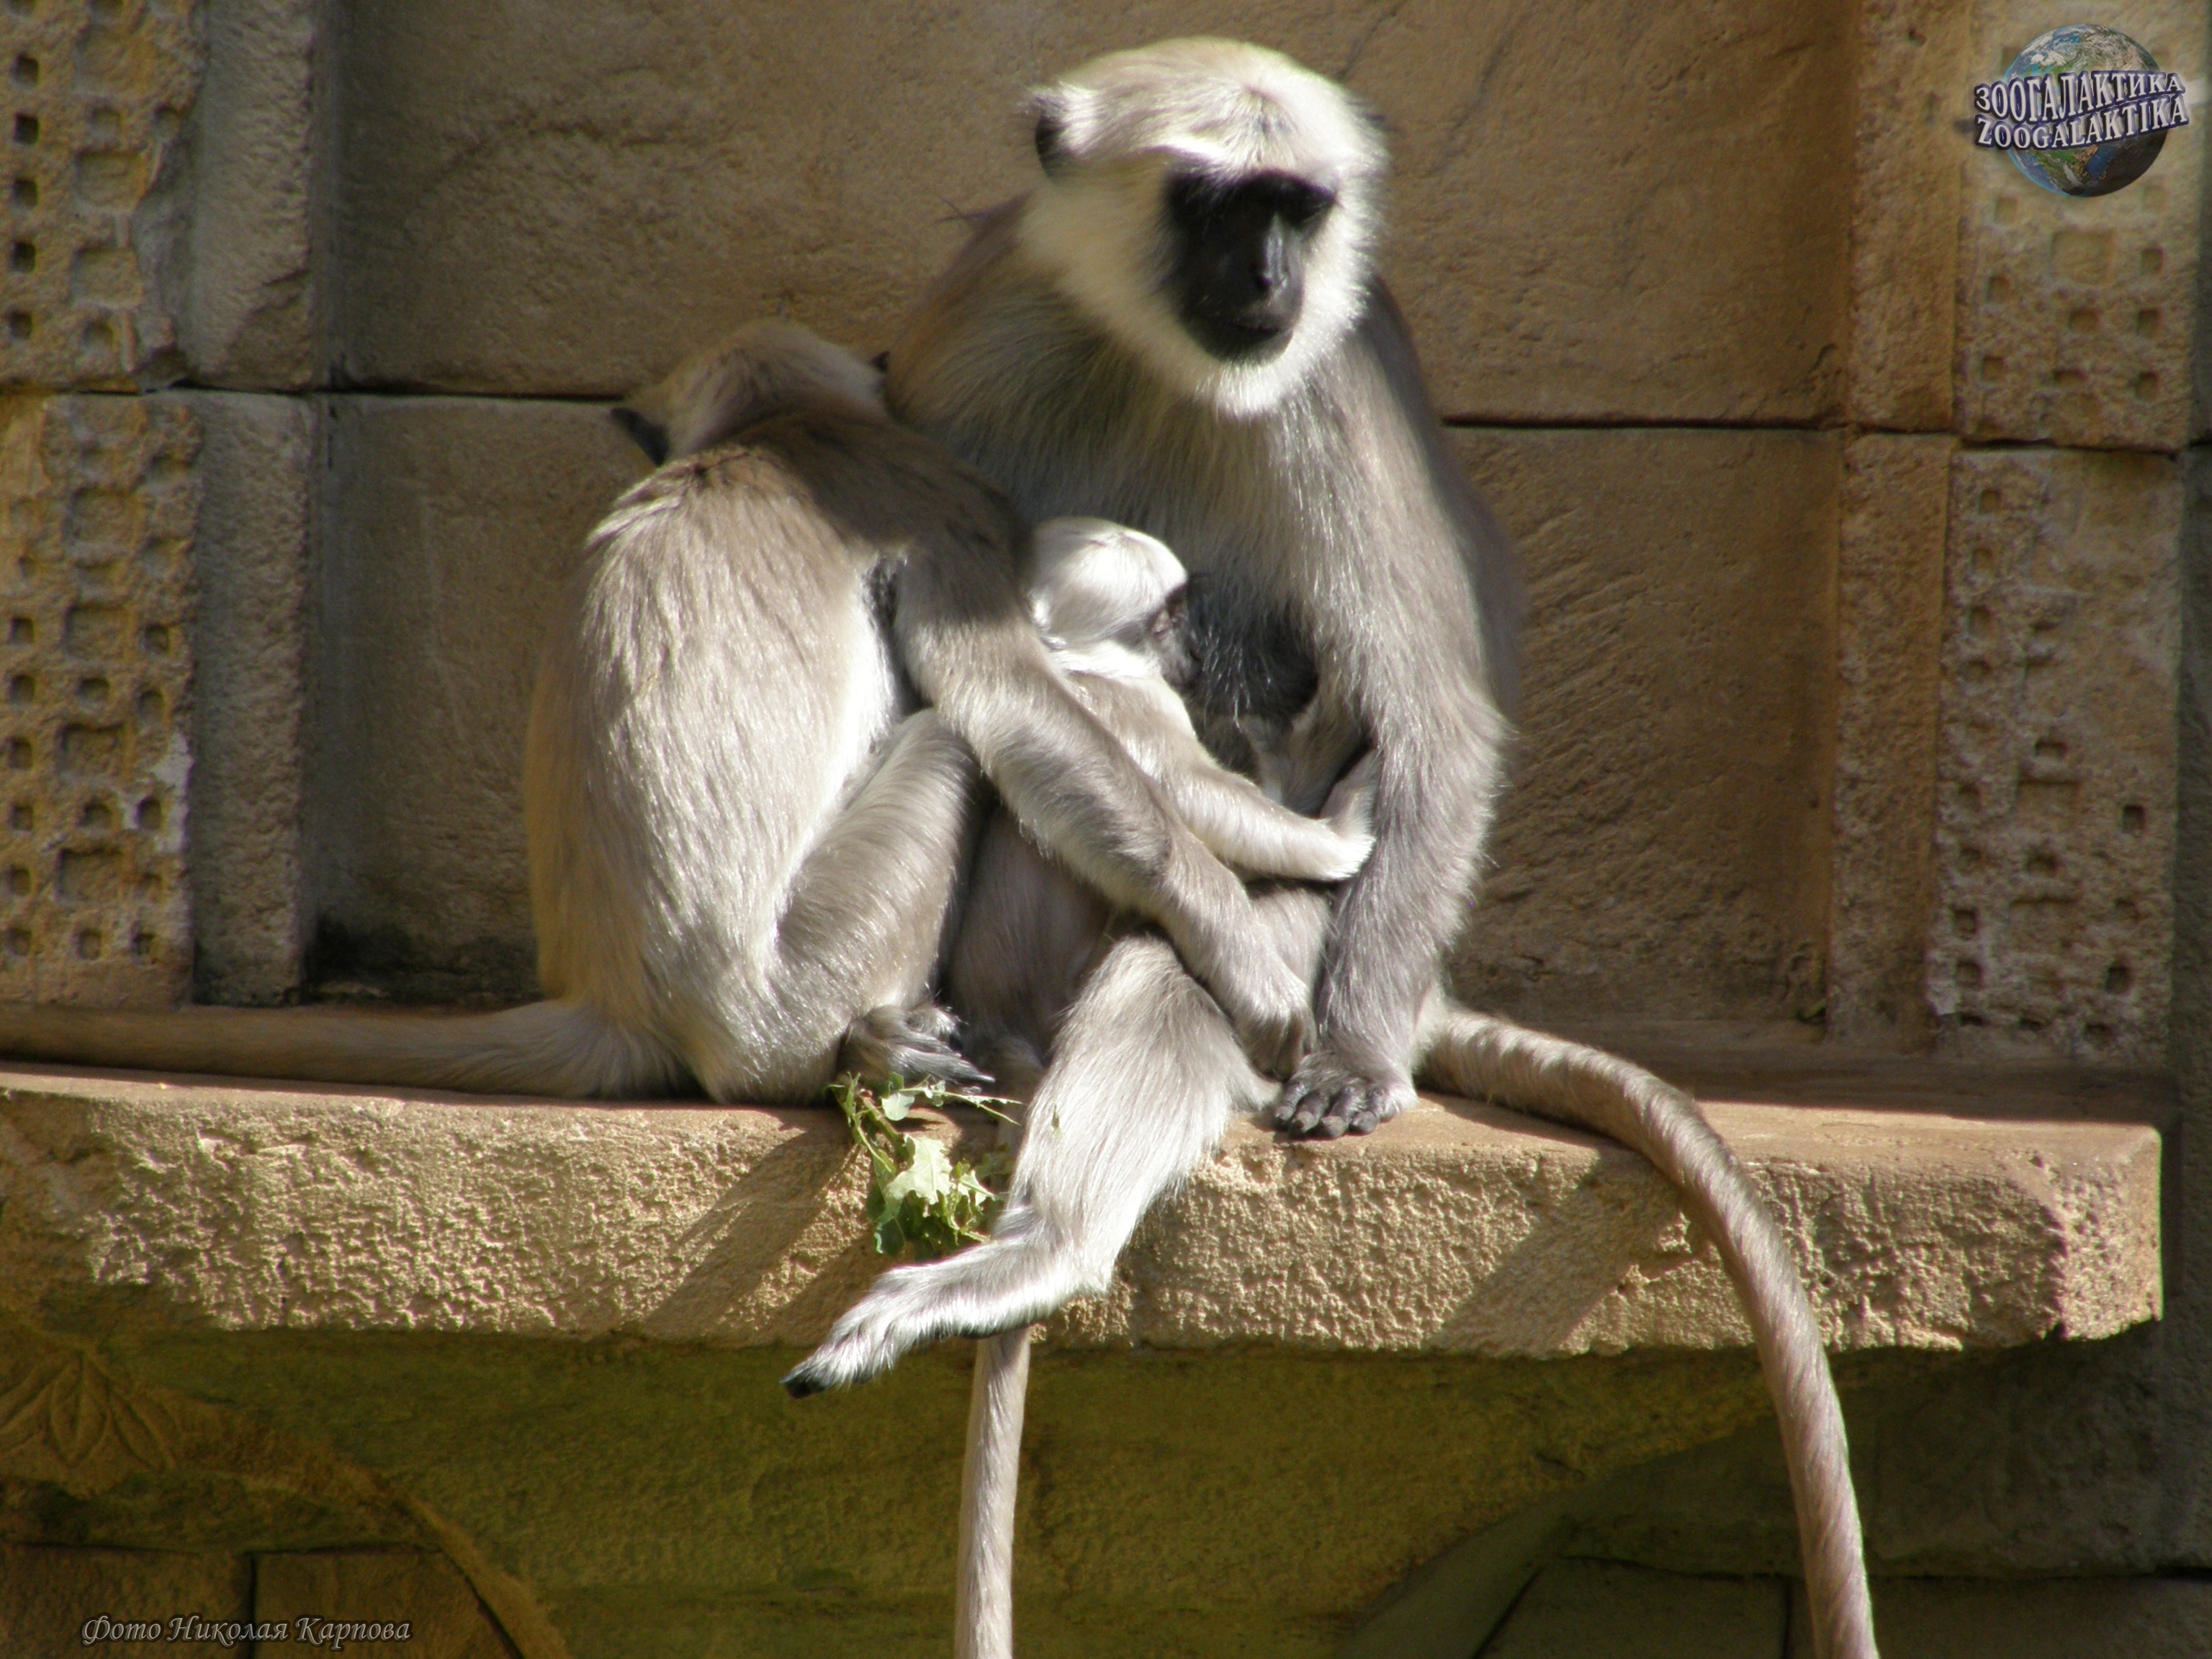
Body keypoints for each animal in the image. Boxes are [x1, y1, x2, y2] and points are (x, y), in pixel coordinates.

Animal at [0, 320, 1318, 1110]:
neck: (775, 432)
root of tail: (626, 1000)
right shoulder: (934, 499)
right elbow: (1004, 702)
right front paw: (1256, 938)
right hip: (808, 969)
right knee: (958, 742)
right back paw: (872, 1043)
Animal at [787, 35, 1876, 1659]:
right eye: (1212, 203)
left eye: (1295, 206)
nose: (1265, 275)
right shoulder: (989, 315)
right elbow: (960, 646)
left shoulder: (1333, 375)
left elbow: (1432, 718)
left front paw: (1341, 1048)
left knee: (1196, 960)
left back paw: (1055, 1234)